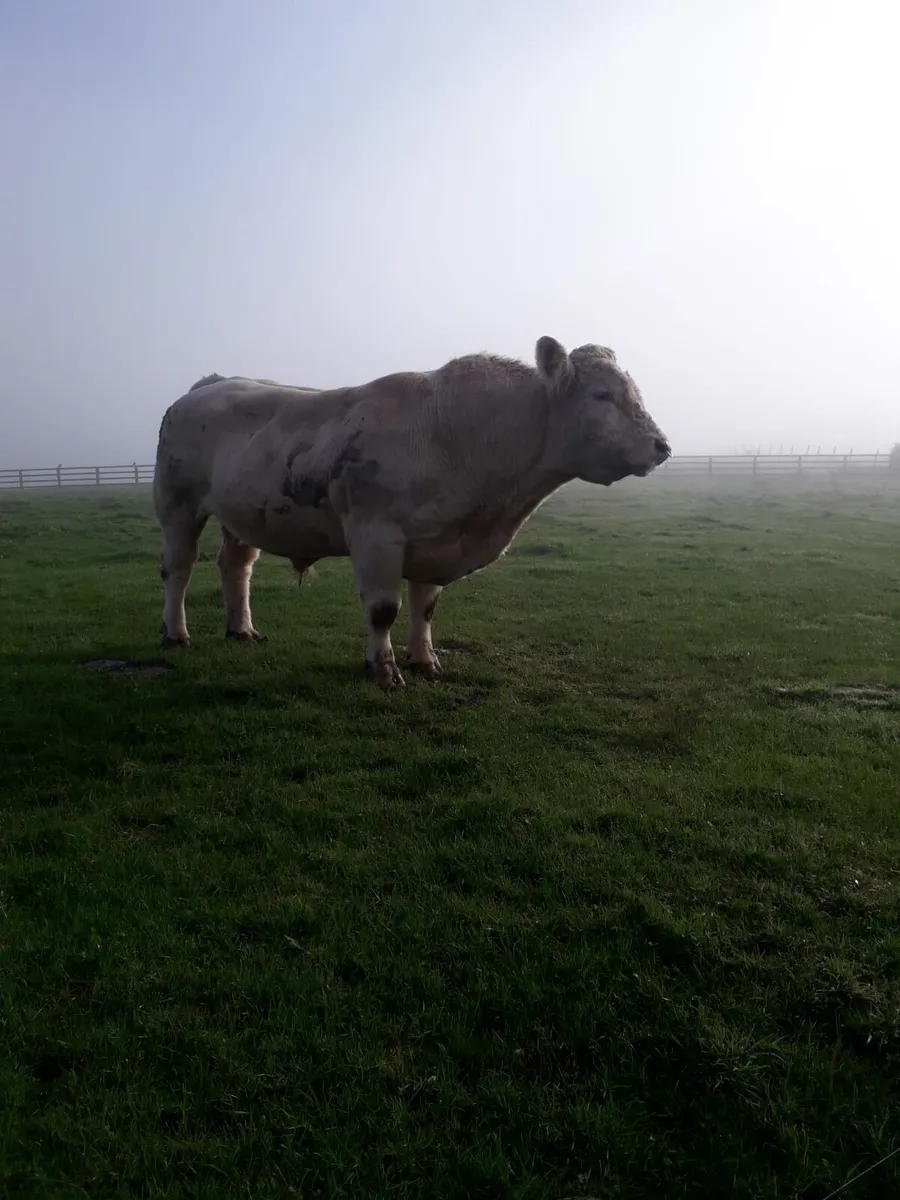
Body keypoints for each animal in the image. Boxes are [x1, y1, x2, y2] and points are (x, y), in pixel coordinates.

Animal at [153, 337, 670, 687]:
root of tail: (209, 383)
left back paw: (241, 629)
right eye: (602, 396)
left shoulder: (438, 540)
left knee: (235, 566)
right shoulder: (375, 535)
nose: (661, 446)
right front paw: (383, 669)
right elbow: (384, 609)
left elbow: (425, 606)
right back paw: (175, 634)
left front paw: (425, 660)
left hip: (240, 513)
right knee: (178, 568)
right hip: (177, 504)